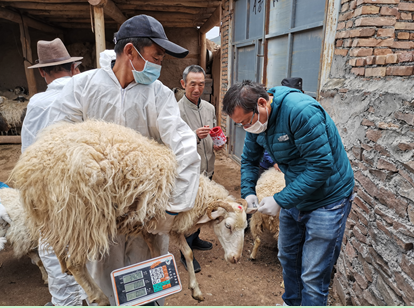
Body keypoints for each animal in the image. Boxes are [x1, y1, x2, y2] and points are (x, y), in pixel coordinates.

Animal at [10, 119, 249, 304]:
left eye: (244, 228)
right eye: (228, 226)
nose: (236, 259)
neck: (195, 192)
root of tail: (31, 164)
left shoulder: (160, 227)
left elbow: (186, 253)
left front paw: (194, 290)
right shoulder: (159, 223)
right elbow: (175, 252)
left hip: (57, 216)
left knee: (58, 245)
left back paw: (64, 267)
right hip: (82, 214)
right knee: (75, 262)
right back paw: (99, 297)